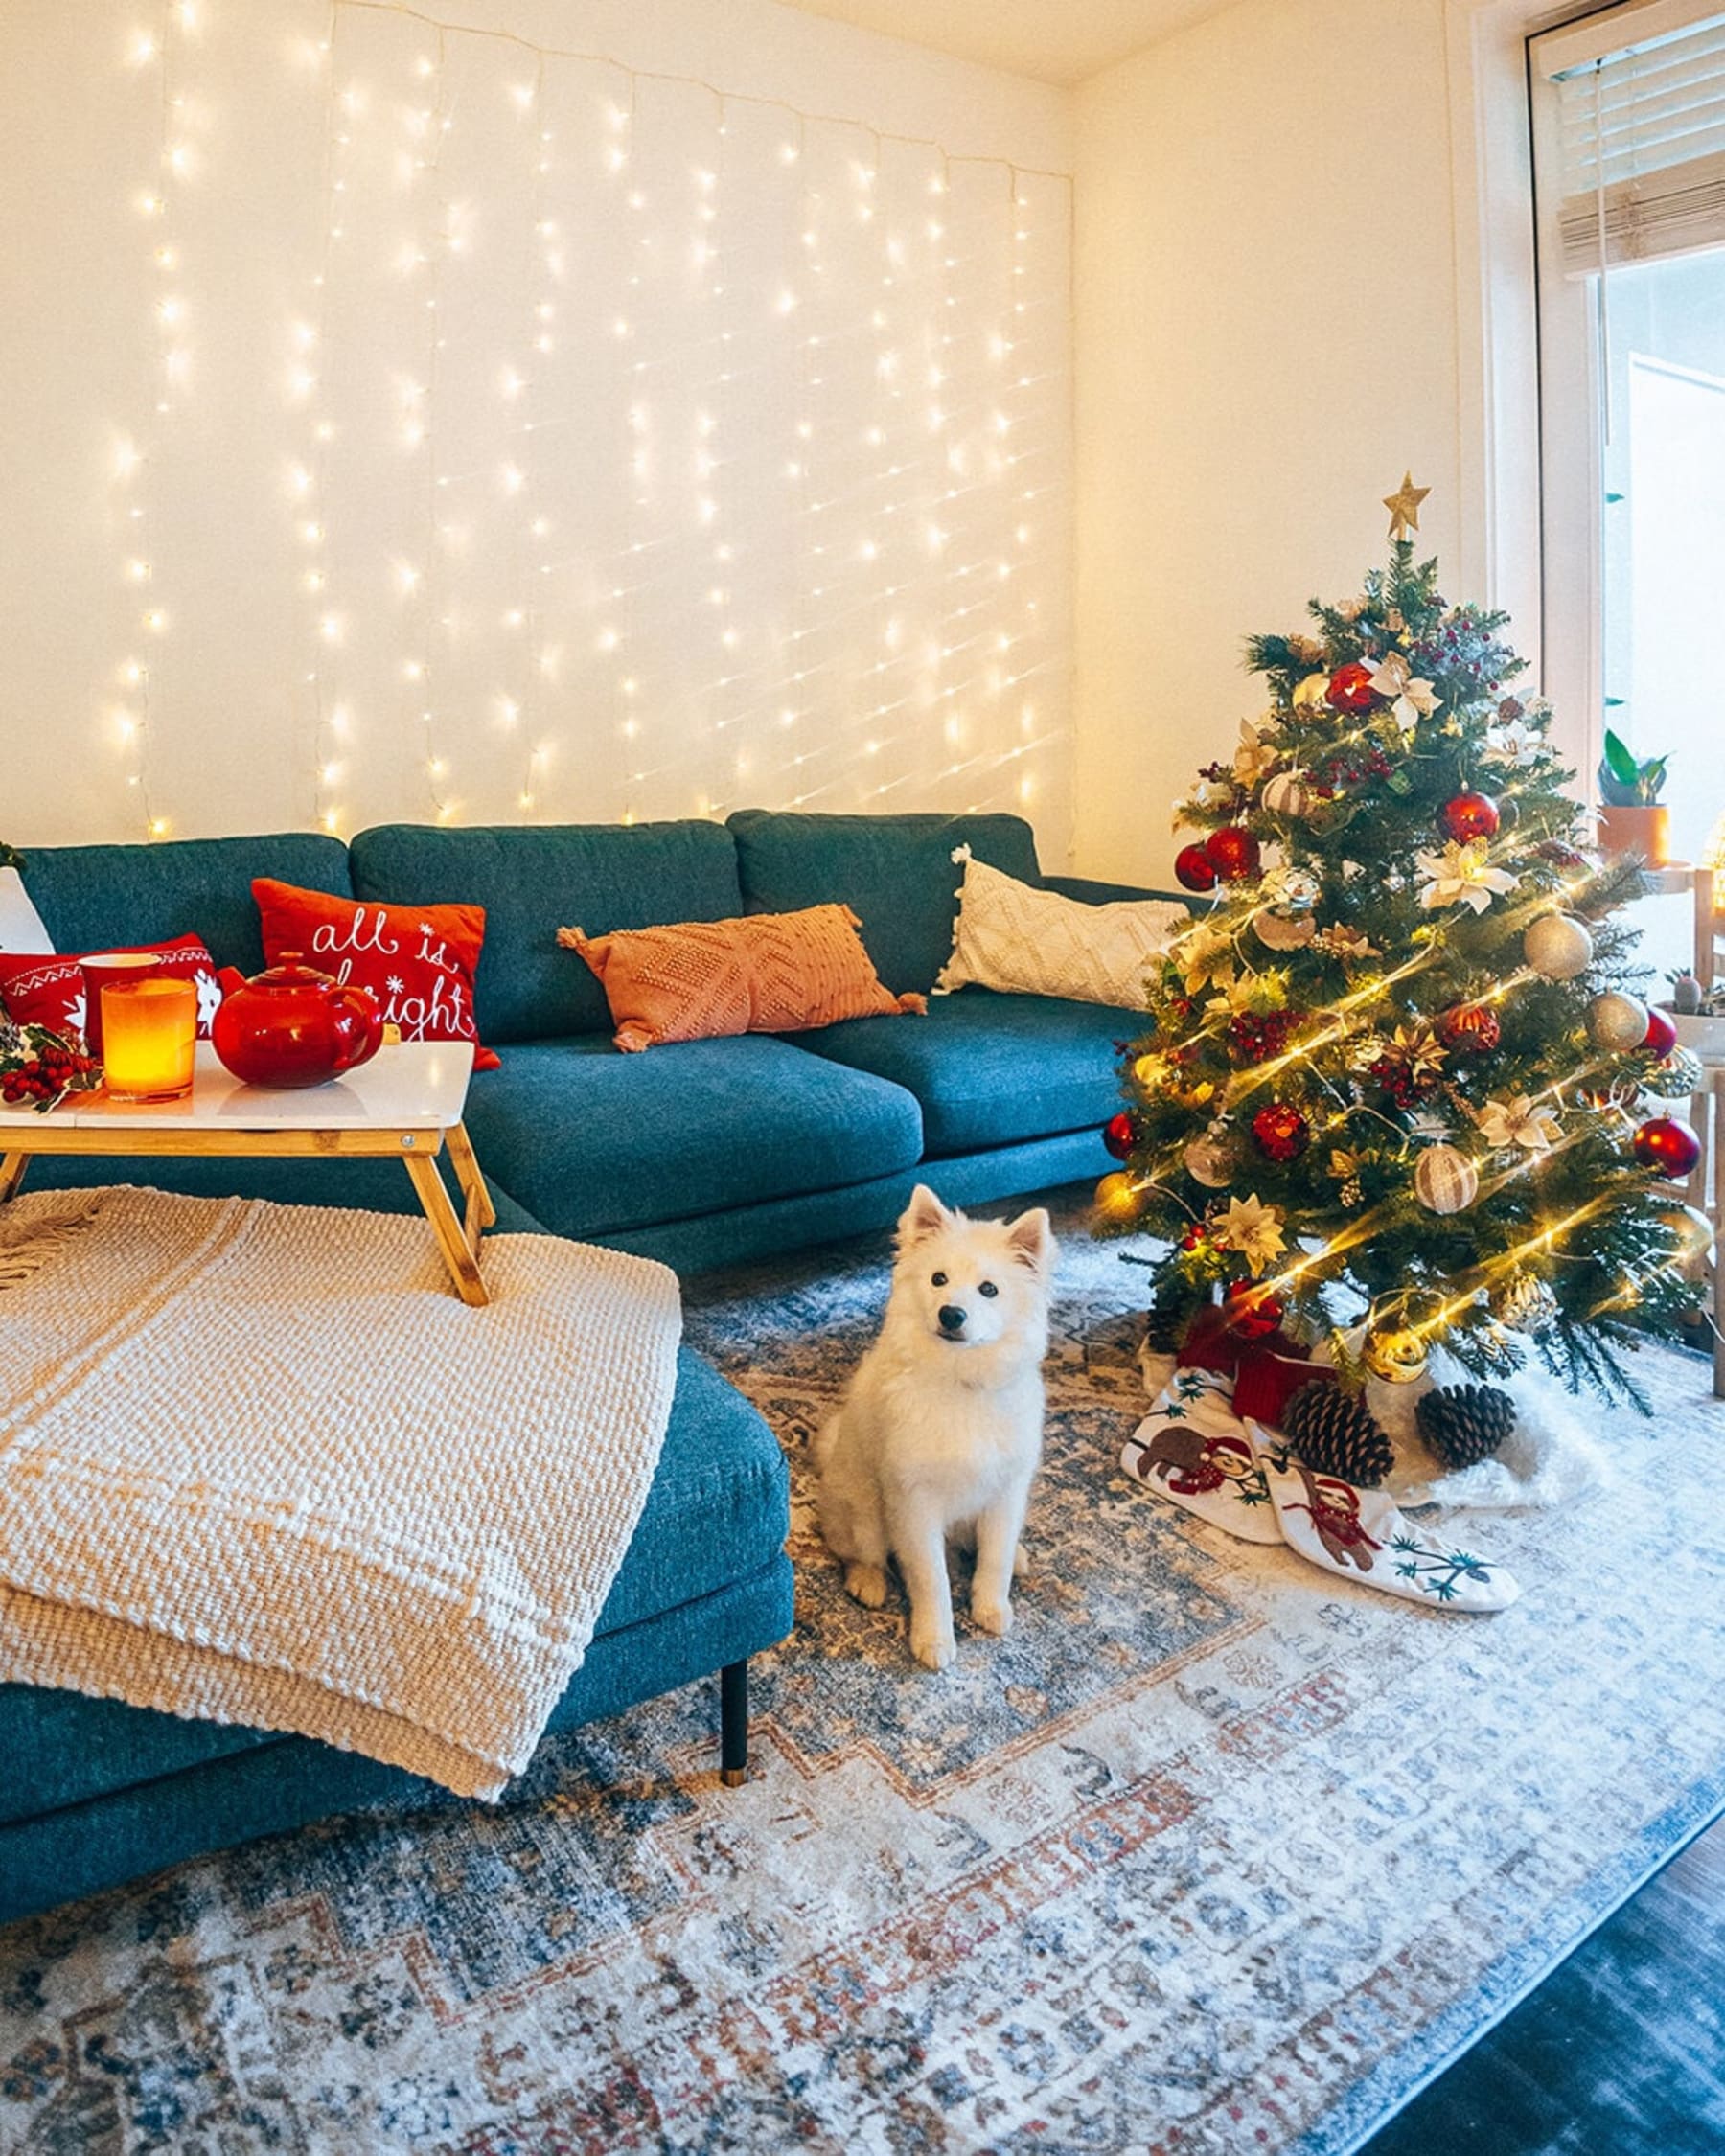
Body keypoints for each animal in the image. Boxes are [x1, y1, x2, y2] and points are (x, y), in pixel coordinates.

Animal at [819, 1190, 1056, 1673]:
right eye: (938, 1279)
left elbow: (994, 1558)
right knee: (862, 1554)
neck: (962, 1380)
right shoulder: (915, 1502)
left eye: (989, 1289)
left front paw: (991, 1608)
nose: (951, 1314)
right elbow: (932, 1579)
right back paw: (869, 1583)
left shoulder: (1006, 1491)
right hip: (864, 1515)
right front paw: (934, 1639)